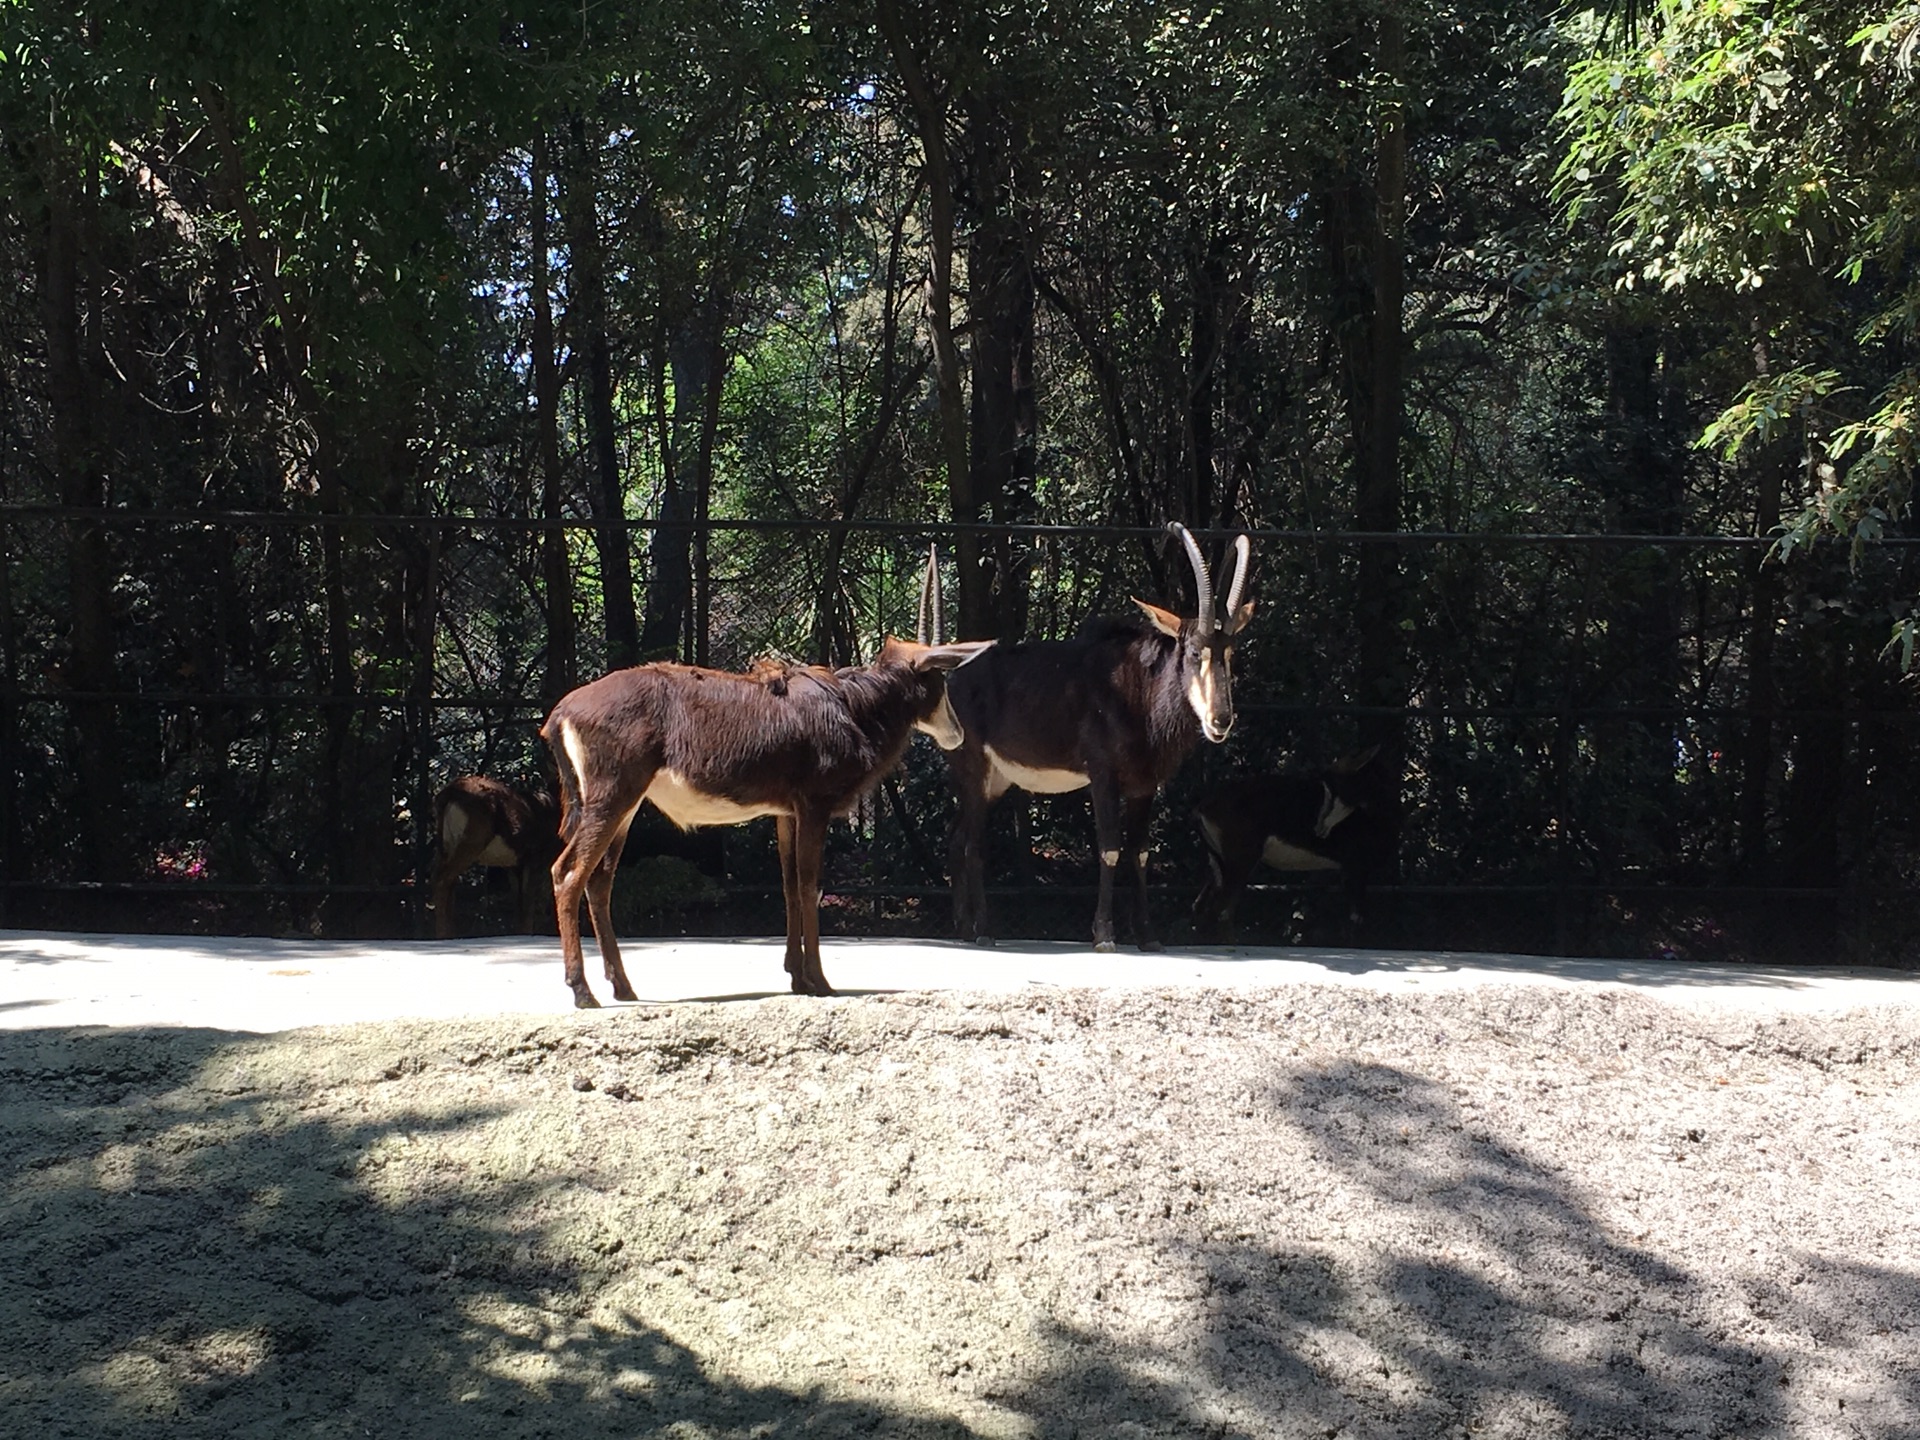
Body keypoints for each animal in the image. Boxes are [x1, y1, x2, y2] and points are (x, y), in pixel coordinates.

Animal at [541, 556, 990, 1006]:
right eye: (937, 679)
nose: (957, 734)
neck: (853, 706)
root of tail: (562, 711)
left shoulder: (786, 813)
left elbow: (789, 885)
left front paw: (797, 977)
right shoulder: (814, 807)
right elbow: (809, 885)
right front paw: (821, 981)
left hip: (626, 807)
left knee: (600, 880)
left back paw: (623, 986)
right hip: (612, 798)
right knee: (569, 873)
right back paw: (582, 991)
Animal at [940, 526, 1251, 952]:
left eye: (1230, 652)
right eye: (1192, 652)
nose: (1220, 720)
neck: (1139, 690)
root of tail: (949, 682)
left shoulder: (1144, 786)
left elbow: (1140, 854)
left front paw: (1148, 937)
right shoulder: (1103, 776)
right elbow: (1110, 849)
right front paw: (1104, 934)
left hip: (995, 782)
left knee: (956, 840)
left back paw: (962, 929)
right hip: (974, 769)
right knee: (972, 846)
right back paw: (984, 930)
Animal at [1182, 756, 1397, 948]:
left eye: (1331, 786)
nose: (1318, 827)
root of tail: (1202, 807)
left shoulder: (1348, 870)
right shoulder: (1356, 868)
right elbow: (1356, 917)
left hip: (1219, 863)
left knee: (1205, 906)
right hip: (1240, 862)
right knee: (1219, 908)